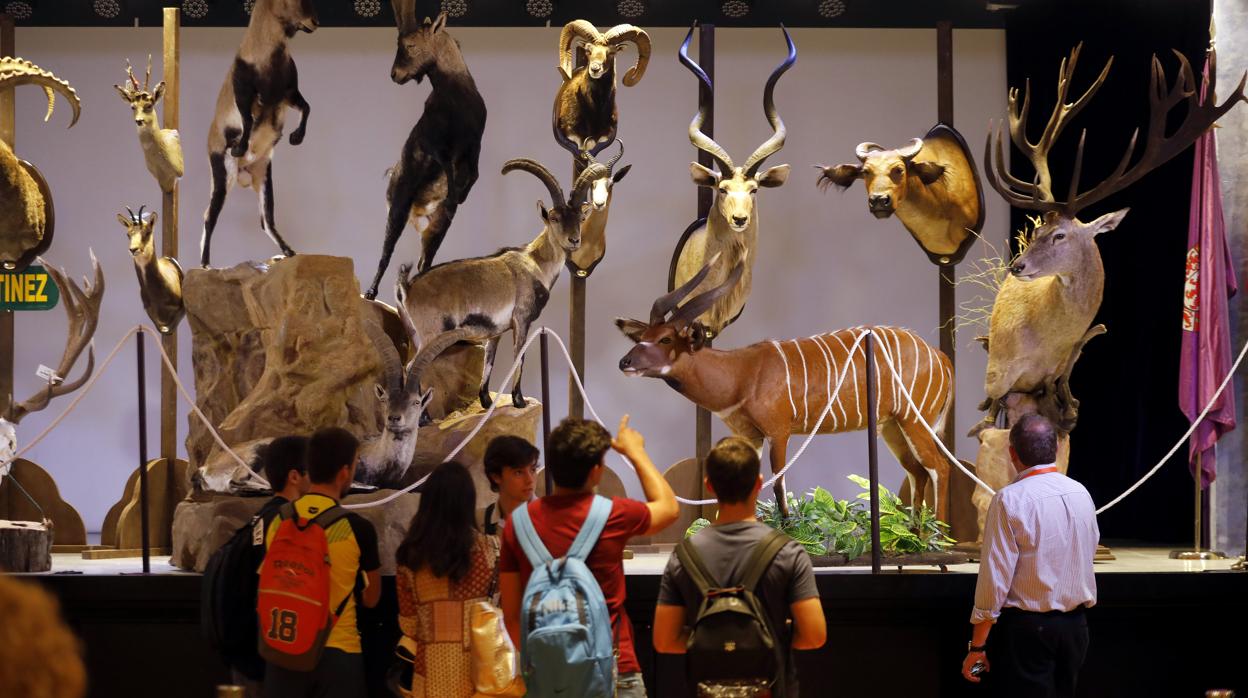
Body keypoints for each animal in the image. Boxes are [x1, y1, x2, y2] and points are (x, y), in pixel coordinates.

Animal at [616, 259, 953, 521]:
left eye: (666, 339)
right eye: (641, 337)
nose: (624, 362)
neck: (741, 373)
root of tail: (942, 358)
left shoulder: (778, 431)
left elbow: (778, 485)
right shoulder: (750, 436)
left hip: (915, 419)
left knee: (939, 466)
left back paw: (938, 537)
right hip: (891, 426)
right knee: (919, 471)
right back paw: (912, 537)